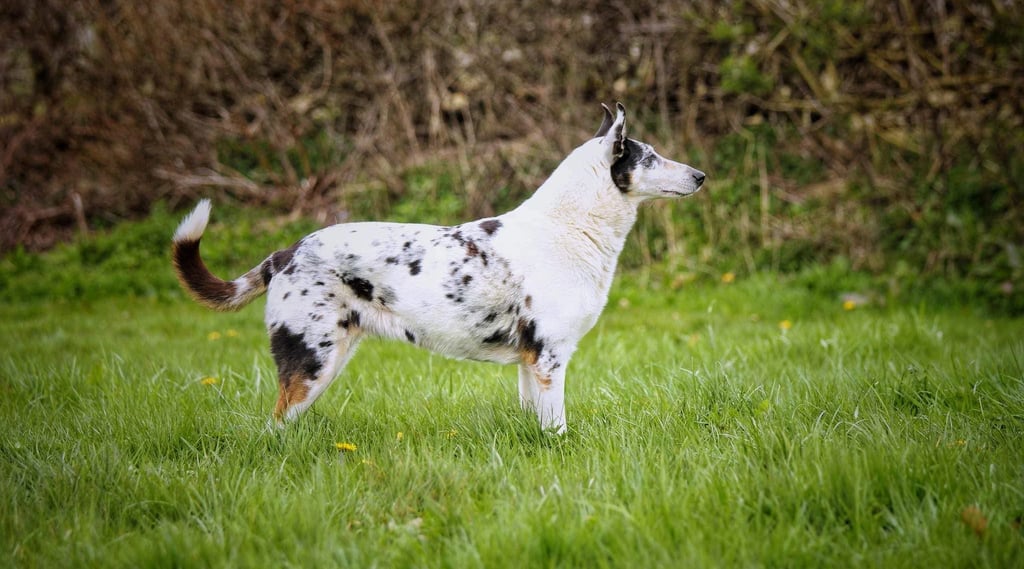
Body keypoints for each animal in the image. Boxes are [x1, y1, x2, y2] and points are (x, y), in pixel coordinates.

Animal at [176, 102, 704, 433]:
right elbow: (558, 426)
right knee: (275, 424)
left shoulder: (531, 363)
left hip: (331, 356)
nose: (701, 175)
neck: (569, 227)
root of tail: (285, 253)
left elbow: (537, 421)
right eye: (650, 157)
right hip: (312, 360)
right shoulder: (550, 358)